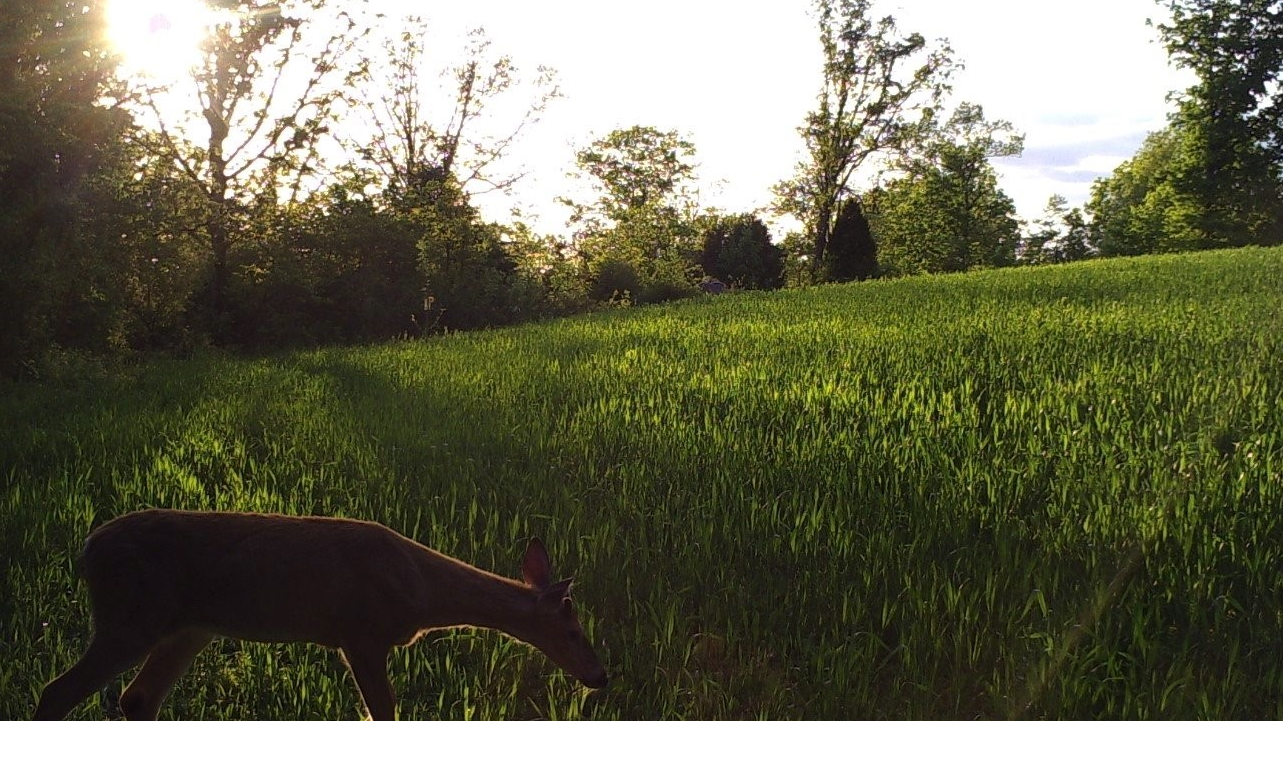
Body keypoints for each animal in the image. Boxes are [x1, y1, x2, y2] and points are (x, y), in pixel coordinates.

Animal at [34, 509, 608, 720]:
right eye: (573, 630)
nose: (601, 676)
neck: (423, 593)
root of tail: (88, 549)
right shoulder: (360, 632)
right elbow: (385, 712)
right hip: (131, 616)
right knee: (57, 691)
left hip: (187, 629)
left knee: (137, 699)